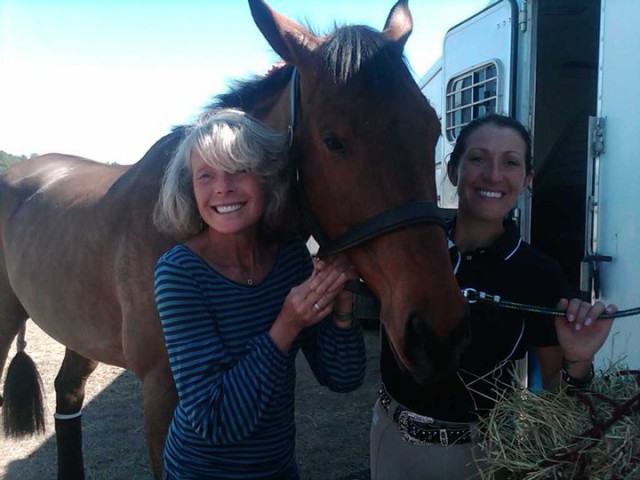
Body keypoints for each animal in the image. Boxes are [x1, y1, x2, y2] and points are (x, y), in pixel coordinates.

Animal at [0, 1, 470, 478]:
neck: (178, 220)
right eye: (333, 140)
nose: (438, 333)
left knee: (68, 392)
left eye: (432, 128)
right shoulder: (160, 394)